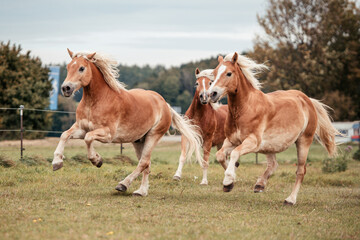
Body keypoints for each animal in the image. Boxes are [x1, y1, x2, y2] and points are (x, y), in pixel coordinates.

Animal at [51, 49, 202, 197]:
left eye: (81, 68)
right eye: (68, 67)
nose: (66, 88)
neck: (96, 101)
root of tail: (165, 104)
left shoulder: (107, 134)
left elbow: (88, 139)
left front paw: (97, 160)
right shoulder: (81, 128)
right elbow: (64, 135)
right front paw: (57, 162)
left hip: (153, 136)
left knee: (143, 162)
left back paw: (123, 185)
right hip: (139, 141)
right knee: (146, 164)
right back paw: (141, 191)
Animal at [207, 52, 338, 204]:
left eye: (229, 73)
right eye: (214, 73)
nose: (212, 94)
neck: (245, 107)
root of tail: (307, 100)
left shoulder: (252, 142)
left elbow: (234, 153)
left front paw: (228, 180)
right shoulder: (231, 141)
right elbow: (220, 155)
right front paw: (230, 181)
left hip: (304, 141)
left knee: (300, 171)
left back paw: (290, 200)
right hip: (270, 146)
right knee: (274, 164)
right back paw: (260, 185)